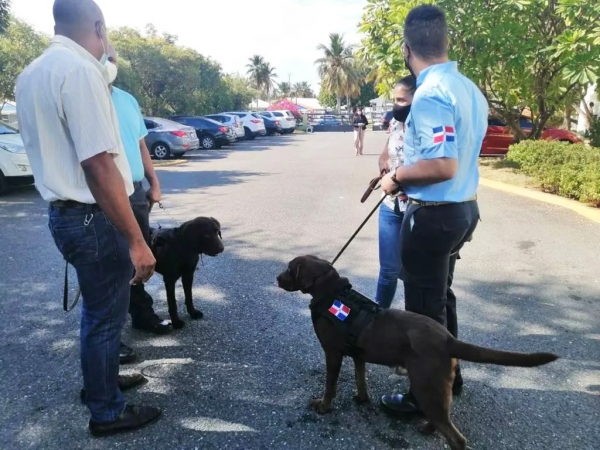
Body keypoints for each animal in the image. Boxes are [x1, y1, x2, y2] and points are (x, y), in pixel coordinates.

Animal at [276, 255, 556, 450]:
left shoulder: (332, 354)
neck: (331, 291)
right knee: (443, 416)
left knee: (457, 438)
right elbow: (361, 377)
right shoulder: (359, 354)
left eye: (290, 269)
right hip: (435, 387)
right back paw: (427, 428)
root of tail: (449, 339)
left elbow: (330, 386)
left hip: (426, 384)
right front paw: (362, 398)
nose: (276, 278)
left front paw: (323, 406)